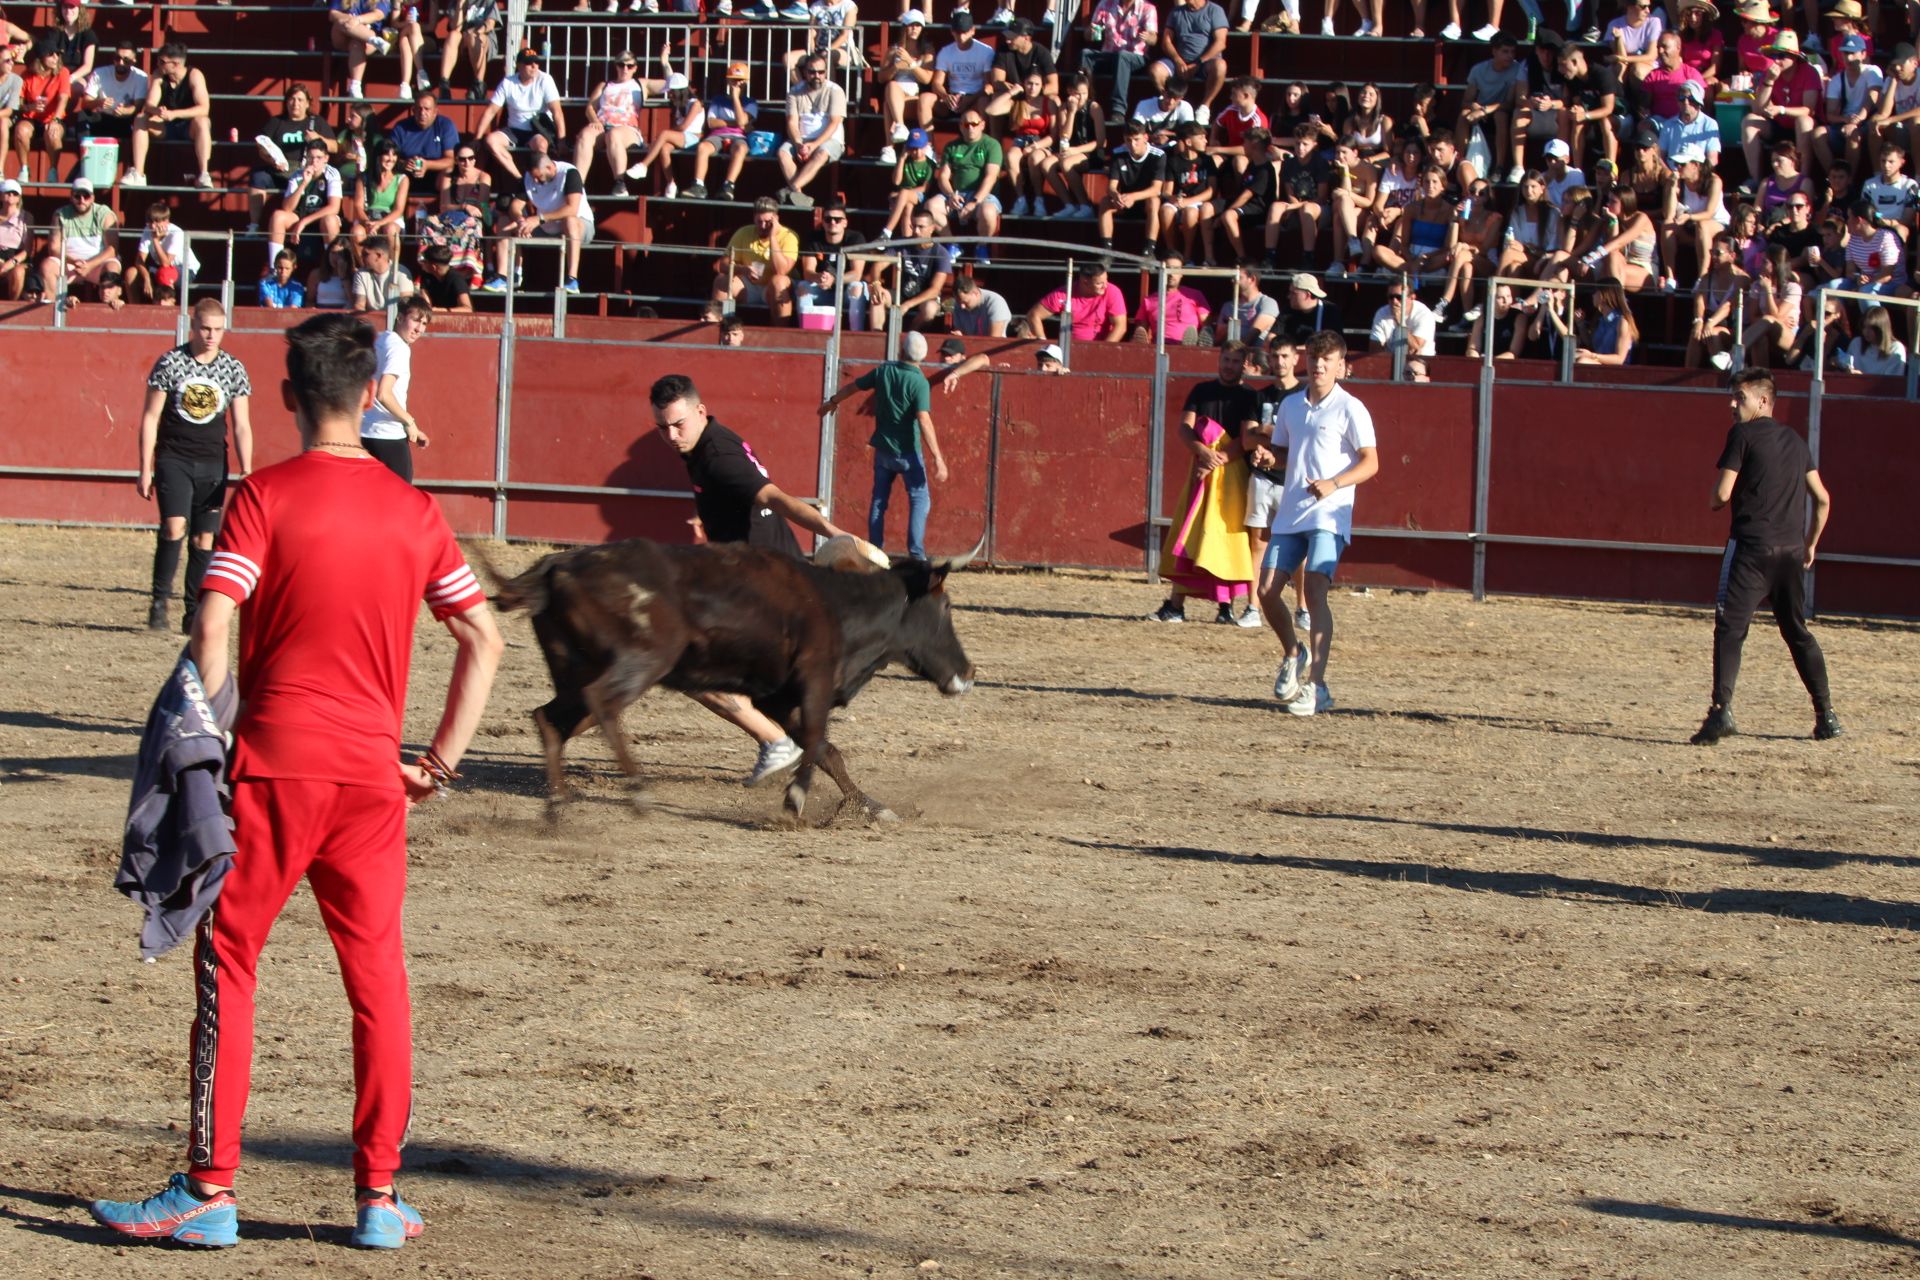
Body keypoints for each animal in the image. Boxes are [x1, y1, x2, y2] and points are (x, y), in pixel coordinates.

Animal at [483, 537, 975, 821]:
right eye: (947, 605)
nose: (968, 672)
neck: (839, 605)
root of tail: (557, 566)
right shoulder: (813, 681)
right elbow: (819, 740)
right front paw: (795, 800)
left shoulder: (780, 698)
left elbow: (827, 751)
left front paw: (871, 807)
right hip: (641, 661)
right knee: (601, 704)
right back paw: (638, 792)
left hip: (572, 669)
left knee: (550, 718)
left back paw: (558, 804)